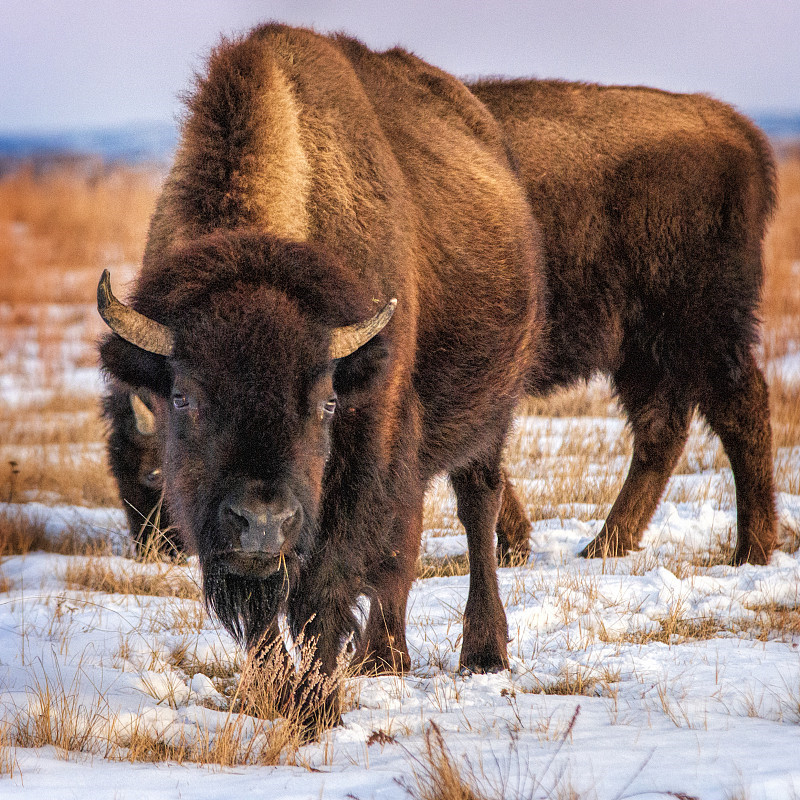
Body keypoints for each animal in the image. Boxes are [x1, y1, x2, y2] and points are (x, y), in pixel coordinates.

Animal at [95, 26, 544, 688]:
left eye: (326, 403)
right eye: (183, 397)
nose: (262, 521)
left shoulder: (366, 451)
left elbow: (323, 592)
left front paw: (315, 698)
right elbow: (267, 615)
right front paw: (275, 693)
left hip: (488, 416)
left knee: (475, 506)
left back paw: (481, 652)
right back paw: (385, 658)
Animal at [472, 75, 780, 564]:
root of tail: (736, 129)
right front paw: (514, 542)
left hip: (697, 328)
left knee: (739, 411)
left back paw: (750, 550)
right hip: (641, 349)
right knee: (662, 429)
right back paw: (608, 542)